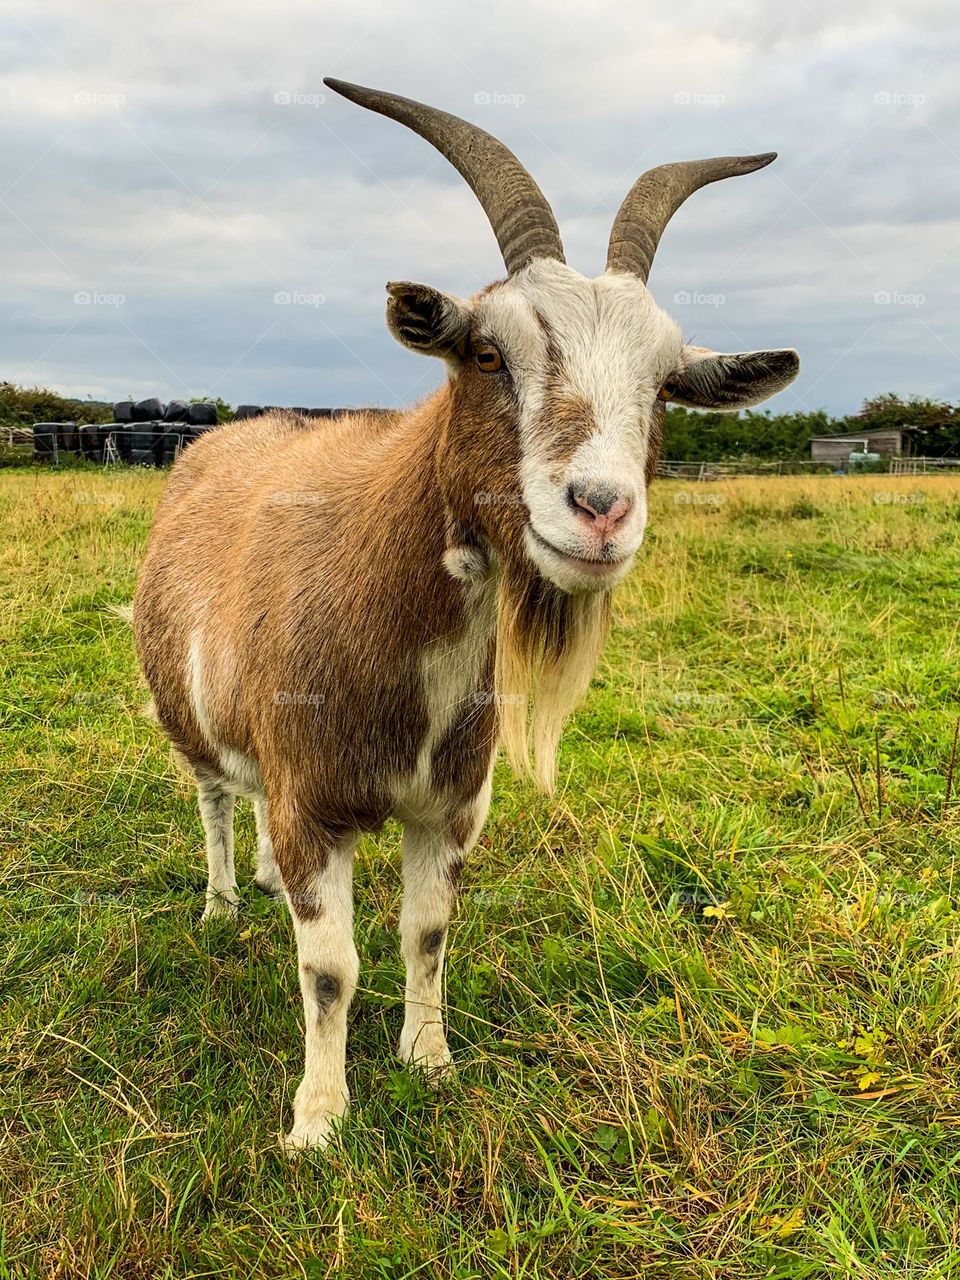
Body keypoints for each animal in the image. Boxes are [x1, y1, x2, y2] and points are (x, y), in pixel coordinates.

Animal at [131, 77, 798, 1152]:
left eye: (664, 384)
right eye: (488, 351)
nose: (600, 510)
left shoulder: (448, 807)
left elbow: (427, 930)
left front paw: (428, 1060)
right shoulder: (314, 805)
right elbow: (330, 969)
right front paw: (317, 1121)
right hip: (185, 716)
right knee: (215, 798)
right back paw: (226, 901)